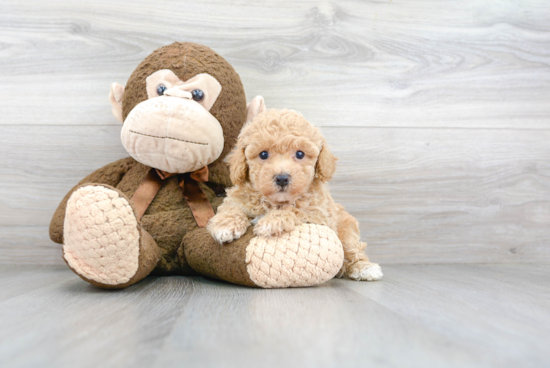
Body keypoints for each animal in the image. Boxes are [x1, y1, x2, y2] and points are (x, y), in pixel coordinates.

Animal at [207, 108, 384, 280]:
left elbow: (295, 210)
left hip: (346, 230)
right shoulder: (237, 198)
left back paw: (365, 268)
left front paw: (271, 222)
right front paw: (225, 226)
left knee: (353, 250)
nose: (282, 178)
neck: (274, 201)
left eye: (300, 154)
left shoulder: (318, 214)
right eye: (263, 154)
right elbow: (231, 208)